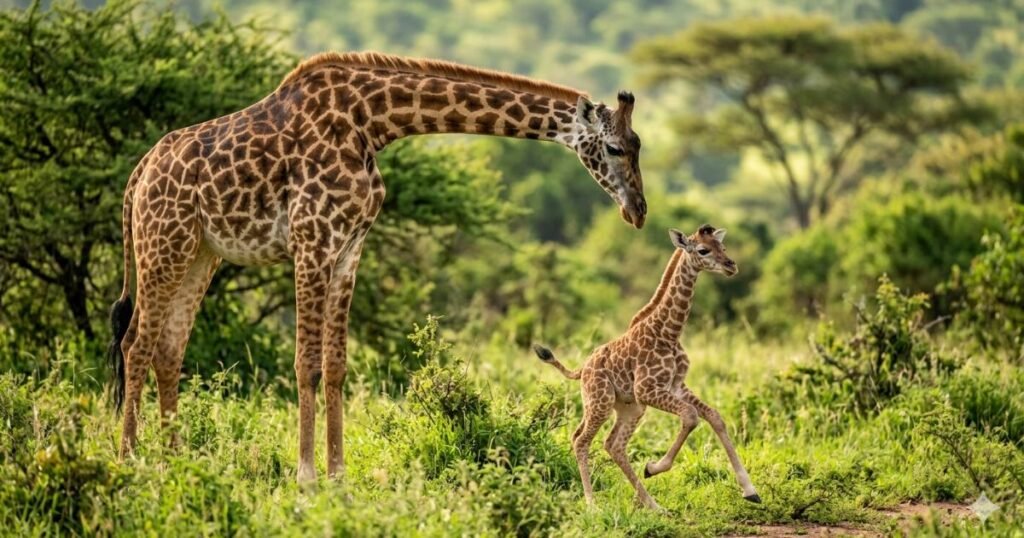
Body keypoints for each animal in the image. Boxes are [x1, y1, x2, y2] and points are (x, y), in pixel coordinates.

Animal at [107, 51, 646, 483]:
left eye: (639, 146)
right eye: (615, 148)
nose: (638, 211)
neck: (371, 123)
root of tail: (139, 174)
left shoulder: (349, 248)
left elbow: (337, 366)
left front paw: (338, 474)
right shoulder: (312, 240)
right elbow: (306, 363)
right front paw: (306, 476)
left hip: (201, 254)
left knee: (168, 349)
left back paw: (176, 462)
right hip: (163, 244)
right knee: (136, 344)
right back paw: (129, 459)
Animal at [533, 225, 760, 509]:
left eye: (723, 247)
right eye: (703, 250)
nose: (731, 266)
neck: (669, 332)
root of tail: (582, 370)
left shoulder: (675, 386)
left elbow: (715, 416)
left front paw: (750, 490)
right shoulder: (648, 389)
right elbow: (691, 416)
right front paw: (654, 467)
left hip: (629, 407)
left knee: (613, 445)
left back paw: (653, 506)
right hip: (601, 401)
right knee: (581, 440)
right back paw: (593, 506)